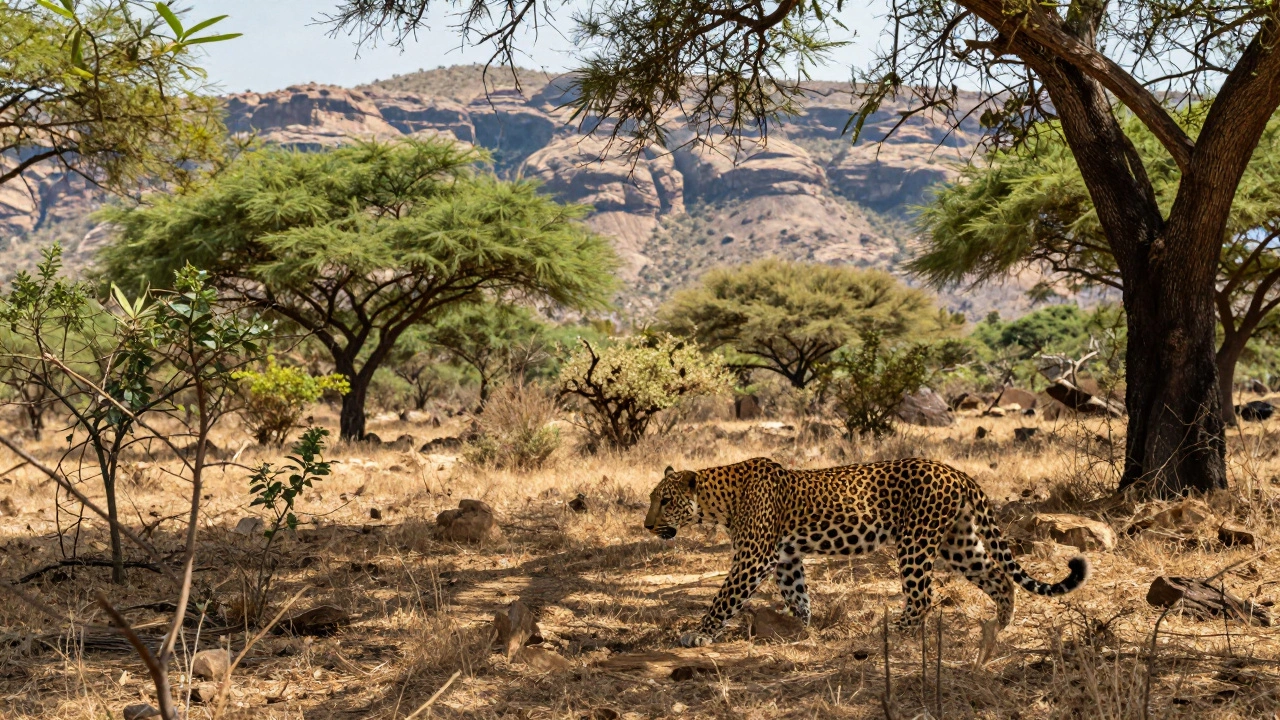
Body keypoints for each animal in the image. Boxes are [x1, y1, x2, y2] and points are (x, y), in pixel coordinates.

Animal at [644, 457, 1090, 647]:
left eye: (665, 501)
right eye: (652, 499)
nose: (647, 525)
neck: (720, 501)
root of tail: (958, 472)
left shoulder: (754, 557)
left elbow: (723, 598)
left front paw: (699, 634)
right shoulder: (786, 558)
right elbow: (798, 596)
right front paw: (802, 630)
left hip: (916, 541)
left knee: (922, 595)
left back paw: (890, 633)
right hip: (958, 541)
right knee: (998, 577)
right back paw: (1001, 626)